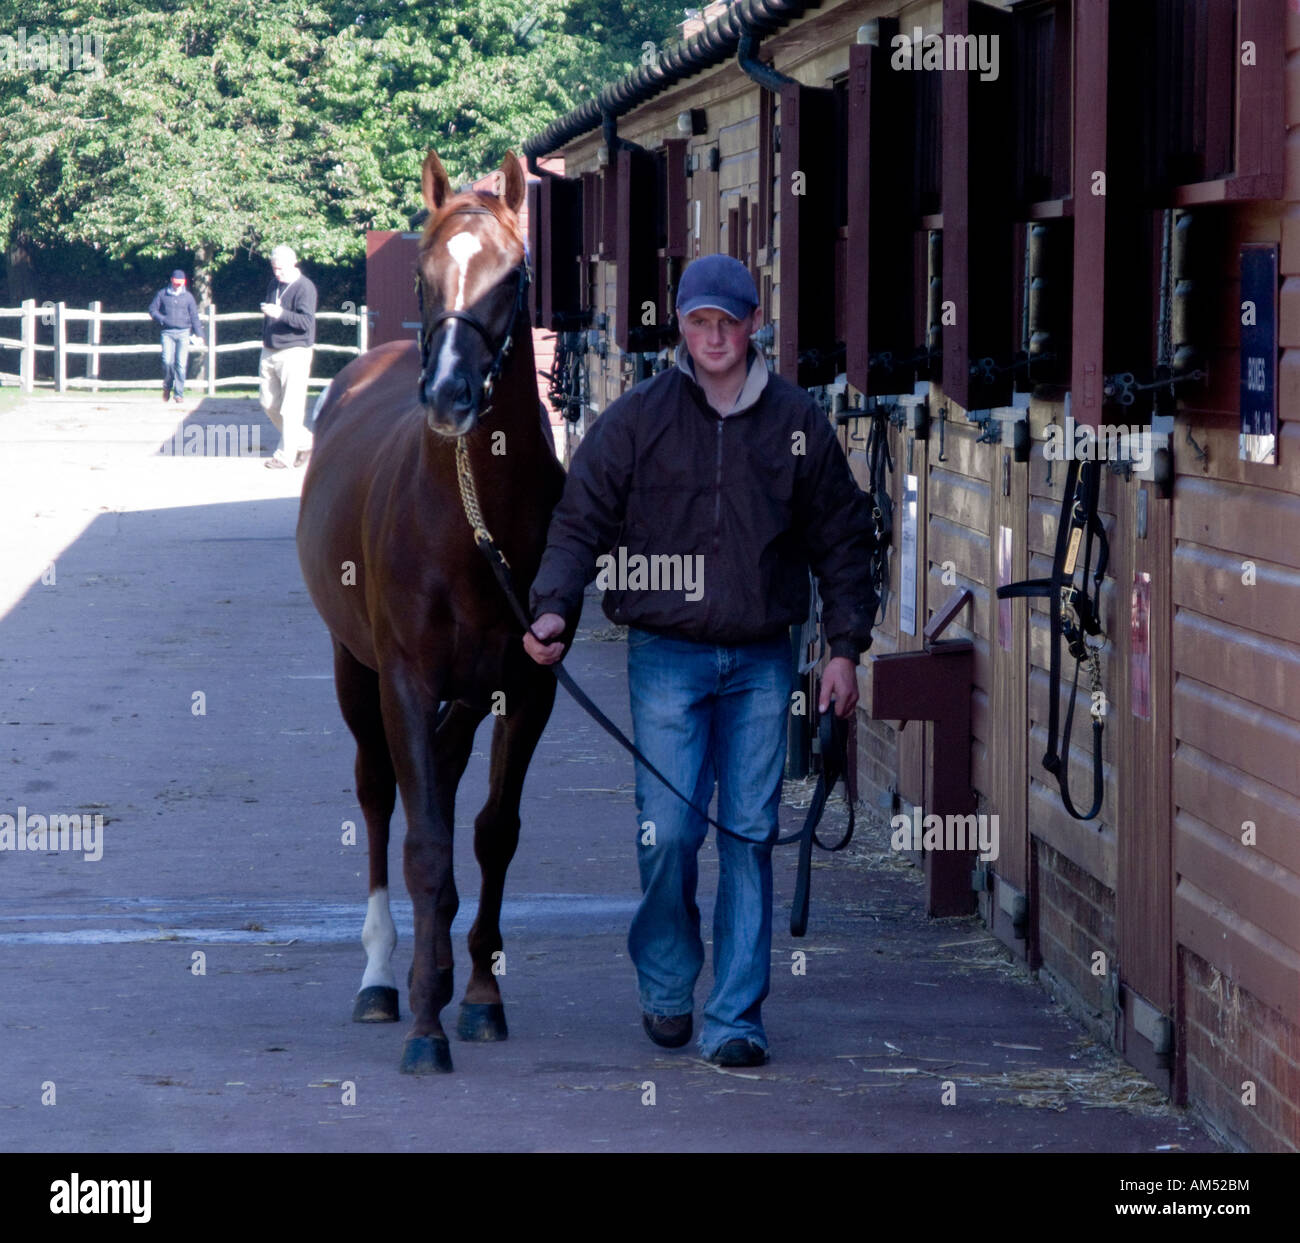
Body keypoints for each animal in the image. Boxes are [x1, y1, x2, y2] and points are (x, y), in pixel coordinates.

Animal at [300, 150, 574, 1071]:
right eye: (422, 276)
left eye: (513, 274)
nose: (451, 393)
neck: (468, 516)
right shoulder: (408, 683)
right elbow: (423, 847)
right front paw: (425, 1021)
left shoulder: (529, 687)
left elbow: (493, 832)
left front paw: (481, 994)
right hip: (356, 673)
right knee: (381, 795)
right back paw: (383, 976)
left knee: (446, 792)